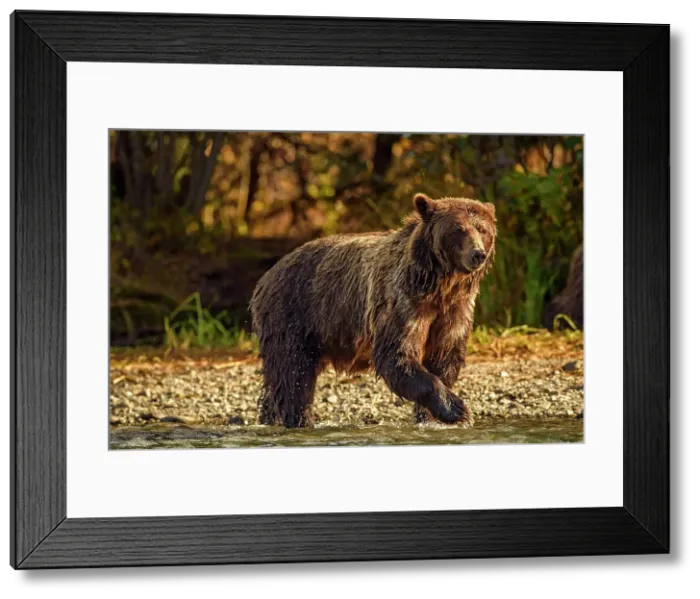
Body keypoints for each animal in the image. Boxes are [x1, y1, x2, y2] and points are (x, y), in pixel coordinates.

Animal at [249, 193, 497, 428]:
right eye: (458, 229)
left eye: (483, 229)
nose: (478, 254)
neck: (440, 287)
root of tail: (265, 276)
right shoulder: (402, 302)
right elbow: (396, 354)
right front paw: (457, 409)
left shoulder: (455, 311)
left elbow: (444, 358)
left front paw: (432, 415)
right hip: (293, 314)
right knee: (293, 375)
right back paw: (299, 419)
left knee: (279, 382)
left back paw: (270, 417)